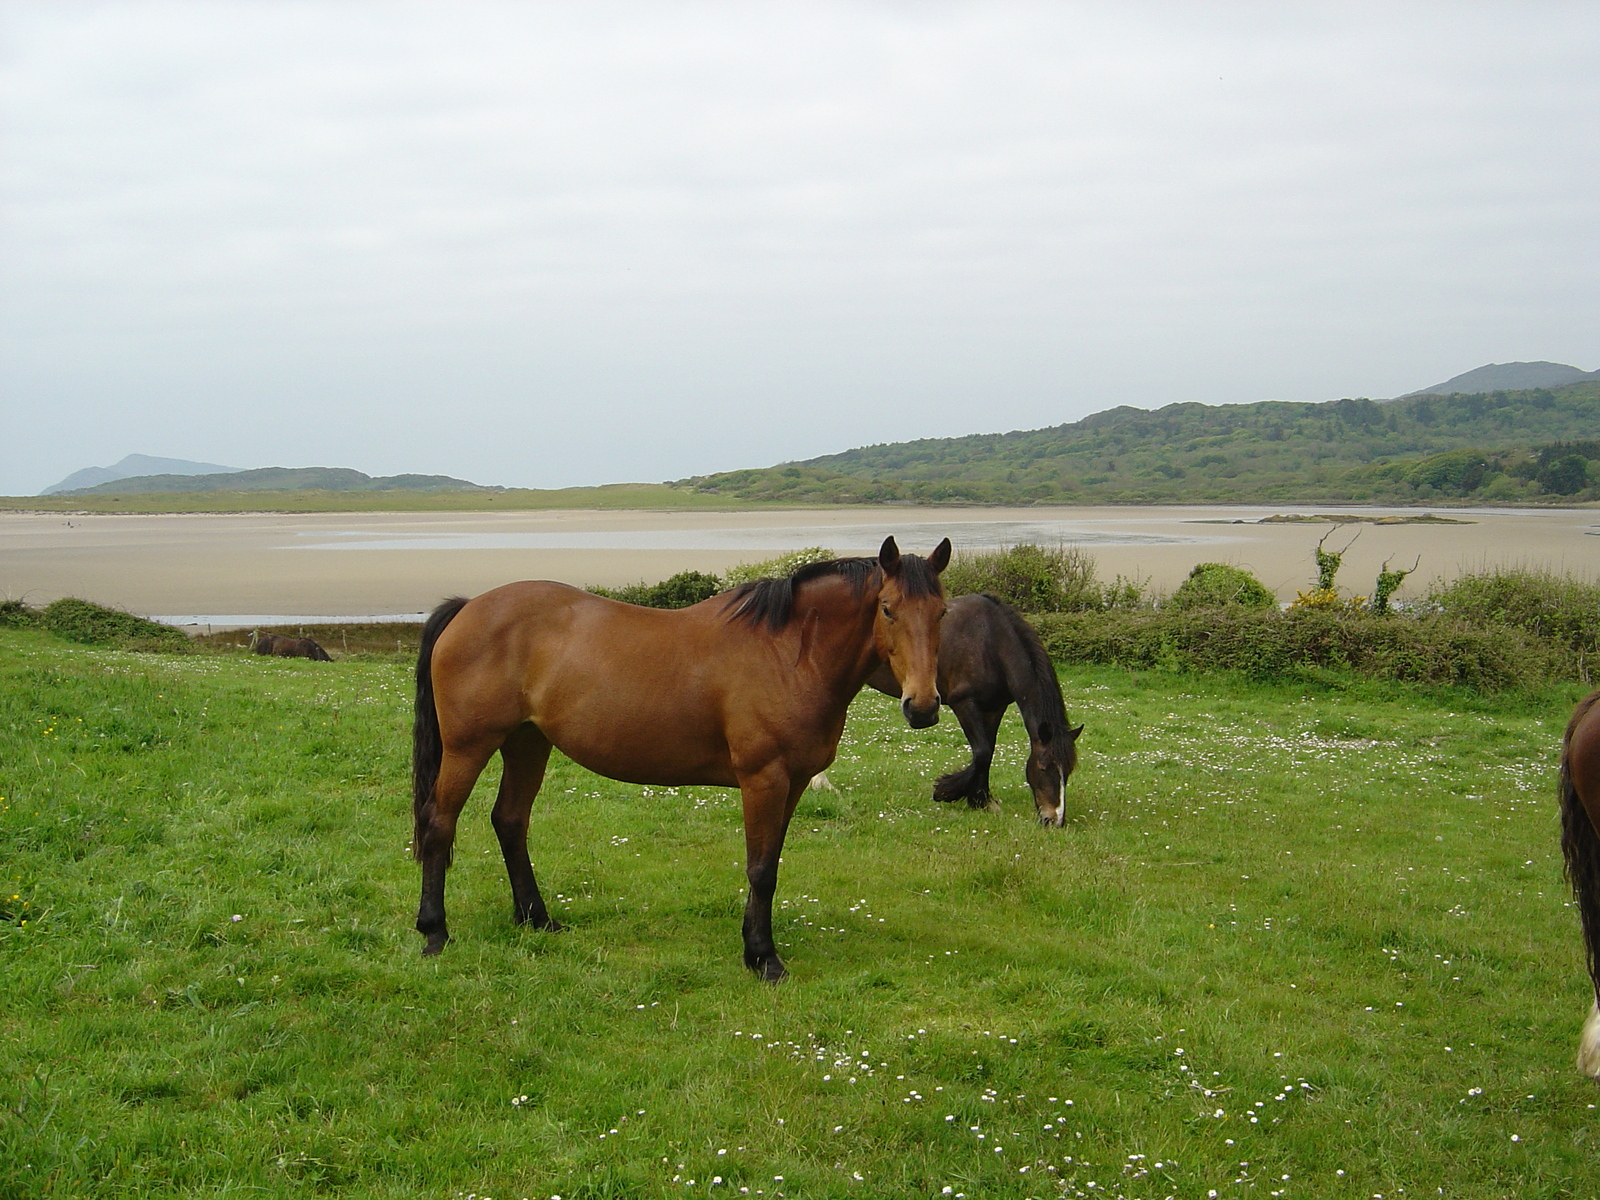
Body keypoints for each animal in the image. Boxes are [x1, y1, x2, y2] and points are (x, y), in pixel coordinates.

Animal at [406, 540, 947, 979]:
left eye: (941, 612)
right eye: (887, 609)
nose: (921, 707)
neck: (788, 654)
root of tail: (469, 608)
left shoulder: (793, 784)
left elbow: (768, 864)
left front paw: (753, 947)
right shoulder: (764, 780)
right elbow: (760, 870)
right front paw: (764, 958)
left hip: (527, 743)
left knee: (510, 821)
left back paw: (536, 919)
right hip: (469, 747)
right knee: (439, 823)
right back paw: (435, 932)